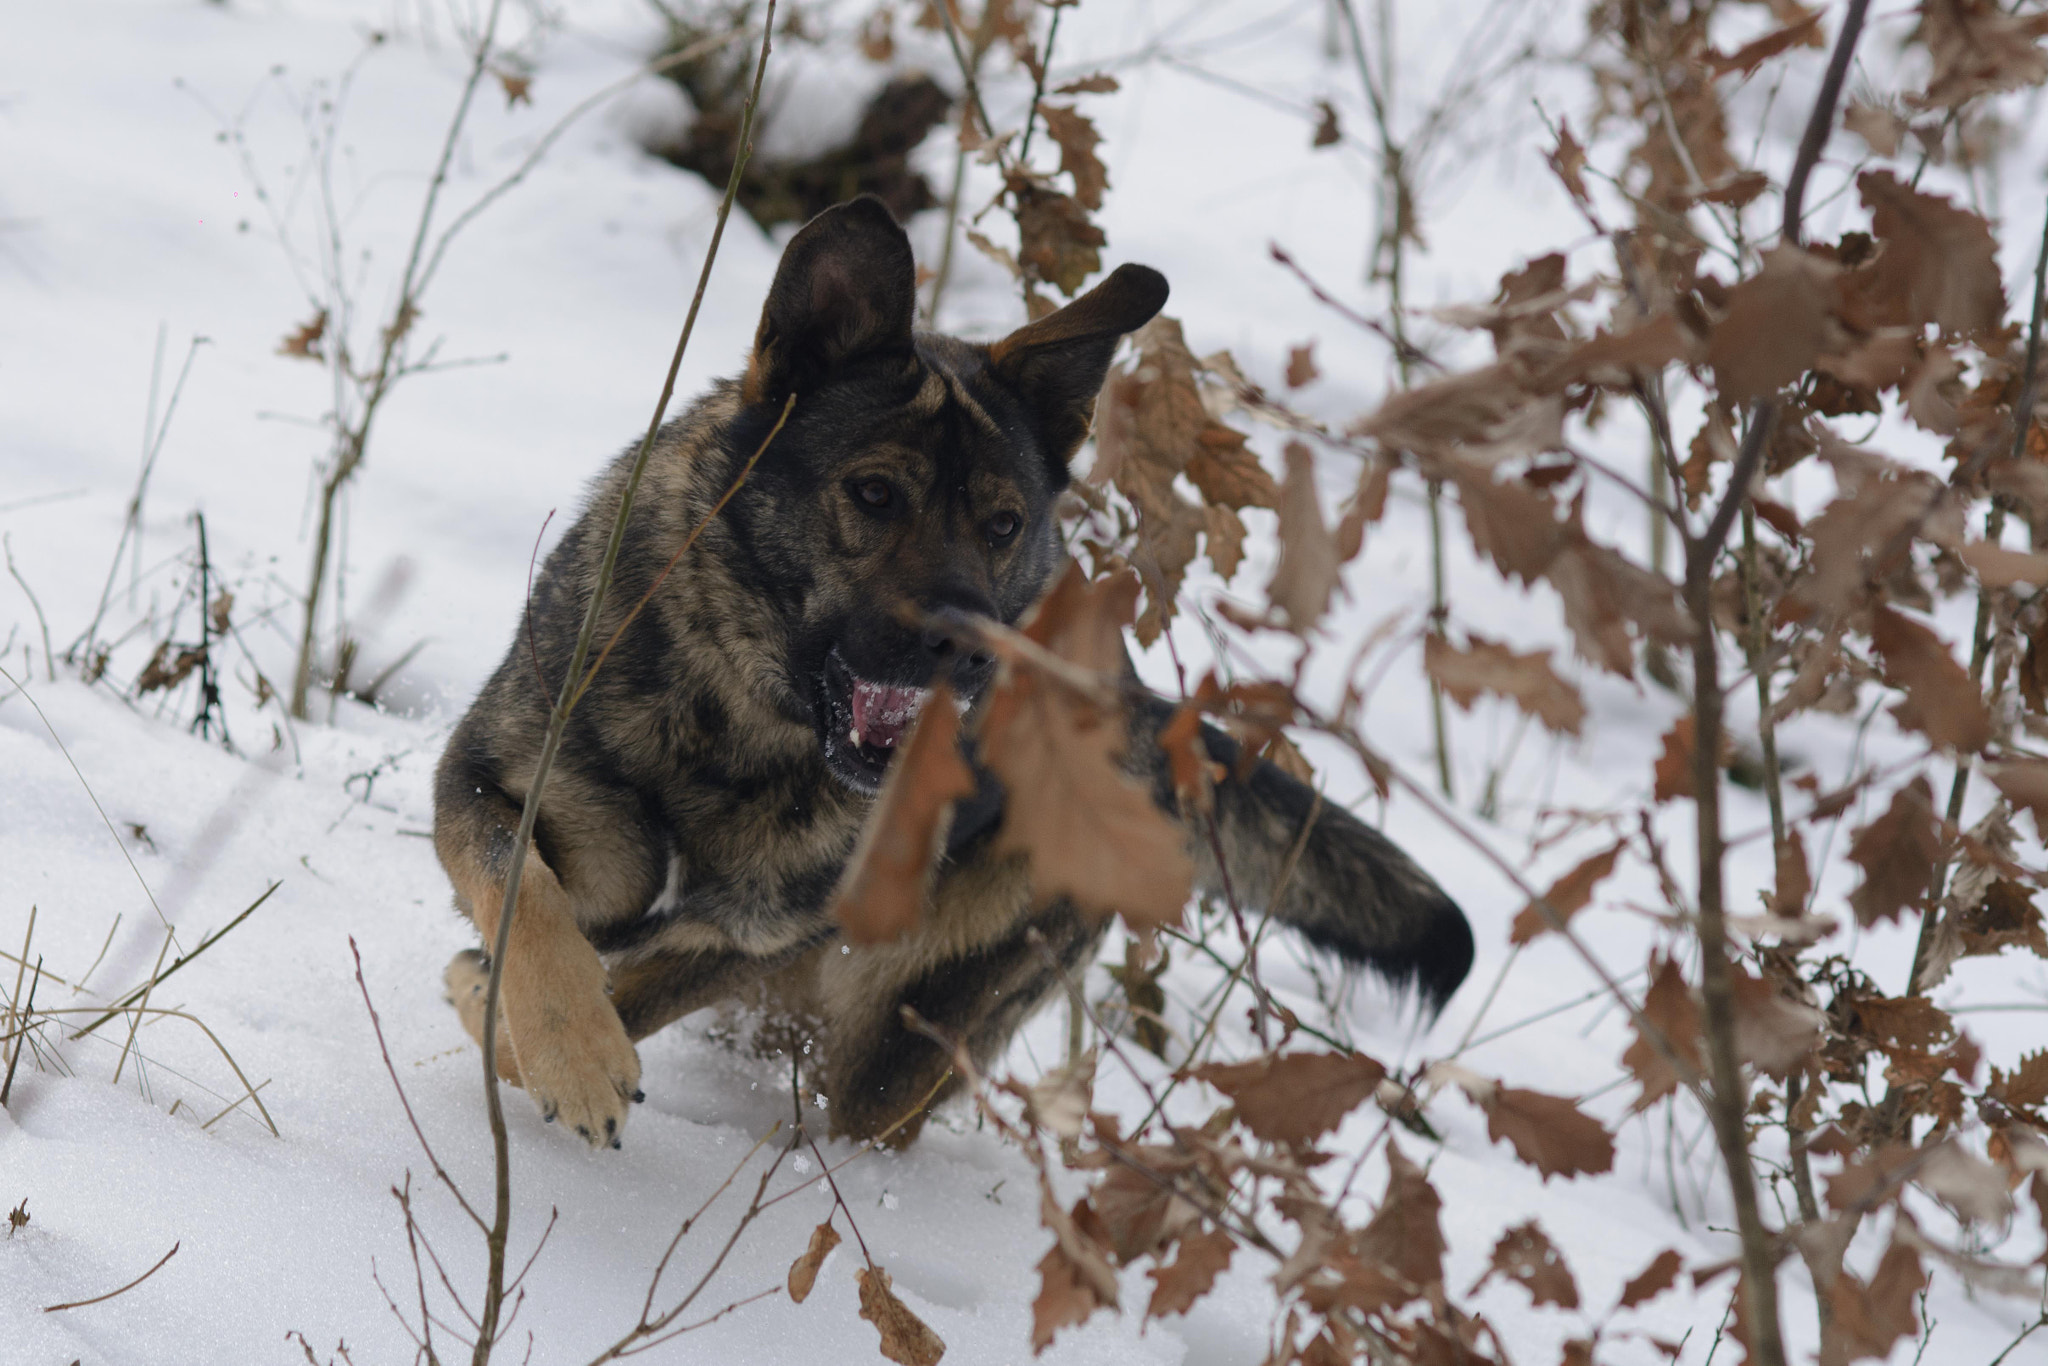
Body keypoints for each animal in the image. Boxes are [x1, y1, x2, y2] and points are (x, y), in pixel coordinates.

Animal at [428, 192, 1474, 1146]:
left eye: (1003, 525)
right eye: (874, 494)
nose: (974, 652)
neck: (741, 720)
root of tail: (1141, 704)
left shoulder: (746, 941)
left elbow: (595, 991)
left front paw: (533, 1036)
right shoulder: (486, 784)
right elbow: (529, 899)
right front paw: (569, 1043)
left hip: (893, 1037)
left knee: (862, 1106)